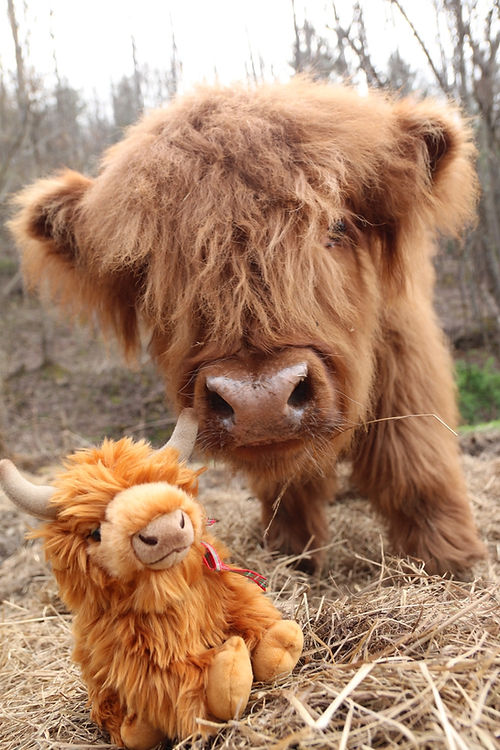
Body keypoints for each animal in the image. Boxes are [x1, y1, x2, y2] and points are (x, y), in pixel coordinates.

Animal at [8, 78, 486, 576]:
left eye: (336, 227)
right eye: (154, 265)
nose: (261, 401)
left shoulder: (404, 356)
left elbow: (414, 462)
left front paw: (448, 559)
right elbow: (286, 486)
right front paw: (291, 552)